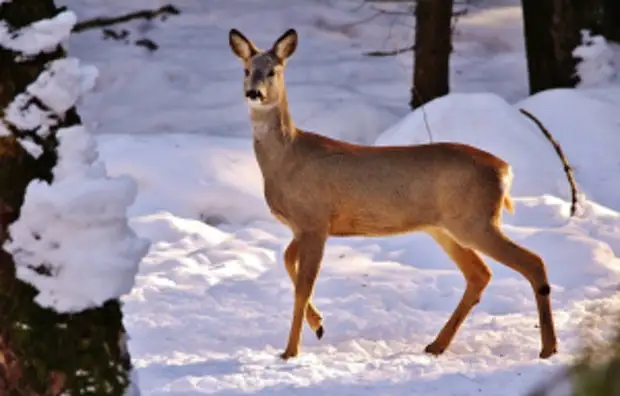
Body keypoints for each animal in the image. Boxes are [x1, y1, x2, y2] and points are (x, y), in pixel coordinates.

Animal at [230, 27, 560, 360]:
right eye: (246, 70)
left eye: (272, 71)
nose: (254, 93)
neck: (287, 158)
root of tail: (505, 169)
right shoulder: (305, 226)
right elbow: (287, 260)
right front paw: (319, 324)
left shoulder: (315, 220)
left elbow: (303, 287)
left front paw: (290, 351)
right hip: (445, 227)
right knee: (480, 274)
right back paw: (436, 345)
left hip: (475, 221)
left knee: (533, 262)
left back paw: (548, 348)